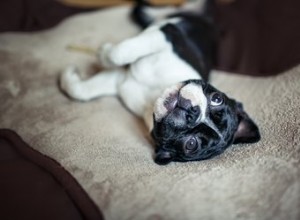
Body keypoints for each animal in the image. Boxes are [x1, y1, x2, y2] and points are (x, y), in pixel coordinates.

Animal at [59, 0, 258, 165]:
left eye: (191, 144)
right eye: (217, 99)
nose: (192, 113)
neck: (153, 94)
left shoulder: (120, 81)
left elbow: (82, 90)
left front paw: (71, 73)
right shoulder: (167, 35)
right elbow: (119, 53)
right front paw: (103, 54)